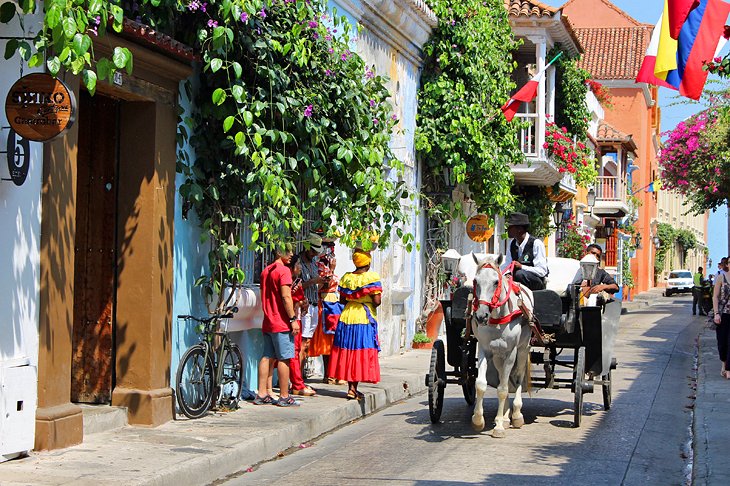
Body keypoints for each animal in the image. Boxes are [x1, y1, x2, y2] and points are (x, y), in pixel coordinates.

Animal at [470, 252, 532, 438]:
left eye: (496, 282)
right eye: (475, 281)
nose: (481, 316)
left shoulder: (511, 352)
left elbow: (503, 389)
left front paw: (498, 426)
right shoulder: (484, 349)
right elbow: (481, 385)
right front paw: (478, 420)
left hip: (522, 349)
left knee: (517, 377)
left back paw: (516, 415)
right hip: (498, 356)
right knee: (501, 377)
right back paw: (505, 416)